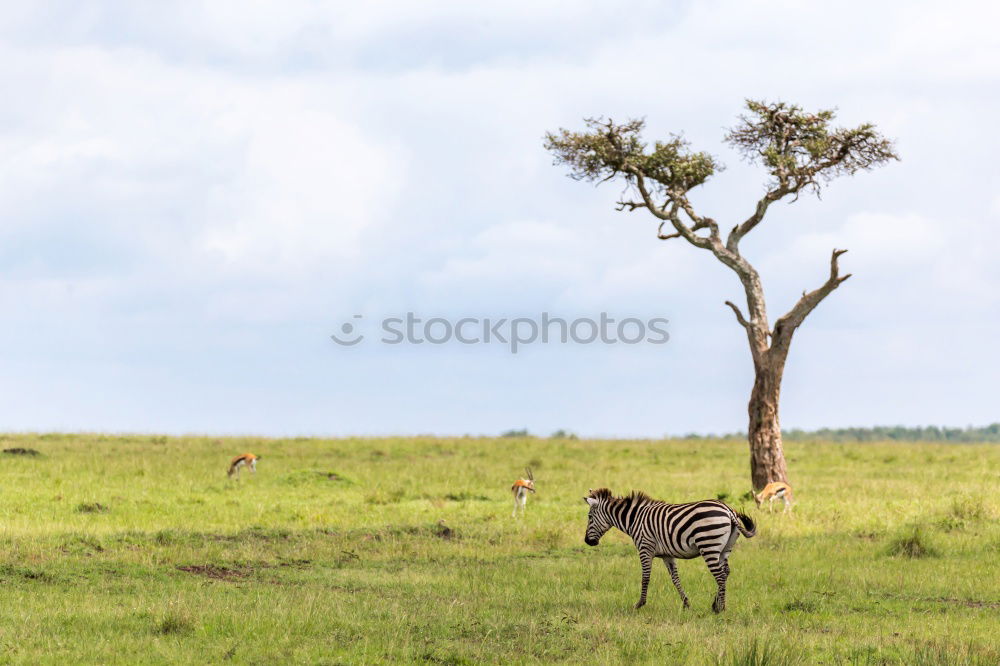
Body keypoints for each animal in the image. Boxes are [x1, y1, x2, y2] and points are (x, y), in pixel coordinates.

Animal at [584, 486, 752, 608]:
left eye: (589, 517)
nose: (587, 541)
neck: (634, 519)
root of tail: (729, 511)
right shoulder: (667, 555)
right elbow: (675, 578)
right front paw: (686, 603)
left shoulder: (645, 548)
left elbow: (645, 577)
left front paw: (640, 604)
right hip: (724, 549)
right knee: (726, 572)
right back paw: (715, 604)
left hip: (708, 545)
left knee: (720, 575)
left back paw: (720, 608)